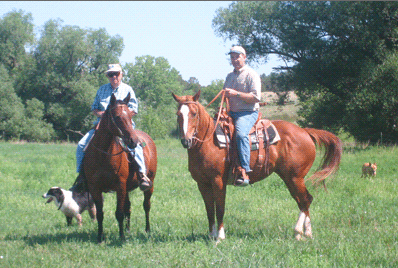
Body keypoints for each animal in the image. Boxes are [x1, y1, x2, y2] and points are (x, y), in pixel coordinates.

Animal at [83, 93, 157, 243]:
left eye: (130, 115)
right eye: (117, 117)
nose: (134, 141)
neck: (103, 155)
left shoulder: (120, 186)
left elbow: (119, 213)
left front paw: (121, 237)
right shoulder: (95, 188)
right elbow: (100, 213)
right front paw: (100, 237)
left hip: (149, 183)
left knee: (146, 206)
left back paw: (147, 230)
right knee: (128, 207)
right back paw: (128, 229)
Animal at [171, 91, 342, 242]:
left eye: (194, 113)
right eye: (178, 114)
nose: (186, 141)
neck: (208, 142)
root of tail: (305, 132)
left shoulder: (218, 181)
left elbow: (219, 208)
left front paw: (220, 237)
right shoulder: (202, 184)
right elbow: (209, 209)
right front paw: (211, 235)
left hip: (295, 177)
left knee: (306, 200)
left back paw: (298, 232)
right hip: (289, 178)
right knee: (302, 201)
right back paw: (307, 234)